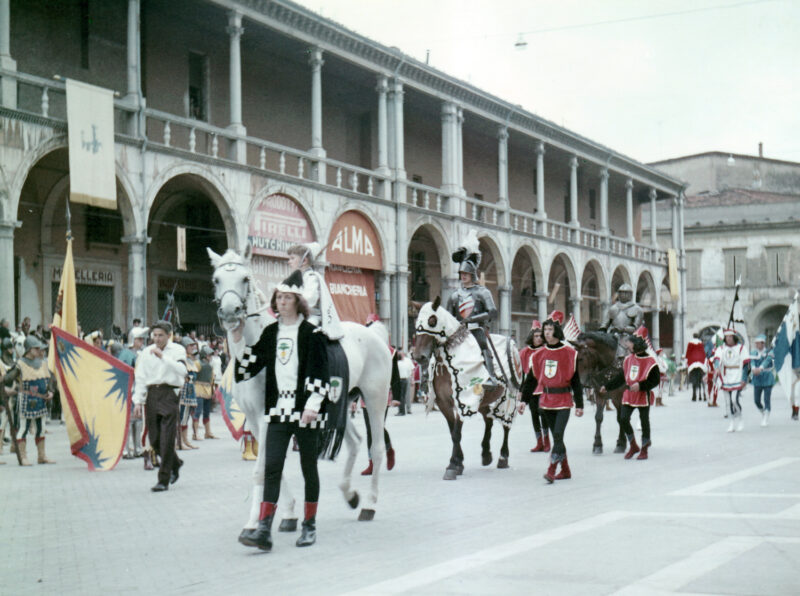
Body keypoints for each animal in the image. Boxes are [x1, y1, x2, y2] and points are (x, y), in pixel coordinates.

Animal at [208, 247, 394, 534]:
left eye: (245, 278)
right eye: (216, 279)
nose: (230, 313)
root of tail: (374, 334)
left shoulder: (266, 415)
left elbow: (262, 468)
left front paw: (252, 523)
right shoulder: (256, 418)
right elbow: (272, 463)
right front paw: (288, 513)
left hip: (375, 399)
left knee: (376, 448)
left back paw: (369, 505)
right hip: (339, 404)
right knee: (354, 441)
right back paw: (350, 495)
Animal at [411, 297, 522, 480]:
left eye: (432, 321)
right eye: (416, 322)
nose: (418, 356)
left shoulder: (463, 399)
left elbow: (457, 432)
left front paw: (452, 466)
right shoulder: (444, 403)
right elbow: (453, 433)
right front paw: (458, 463)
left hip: (510, 396)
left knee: (506, 425)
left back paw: (502, 457)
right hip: (485, 400)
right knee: (489, 421)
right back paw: (486, 454)